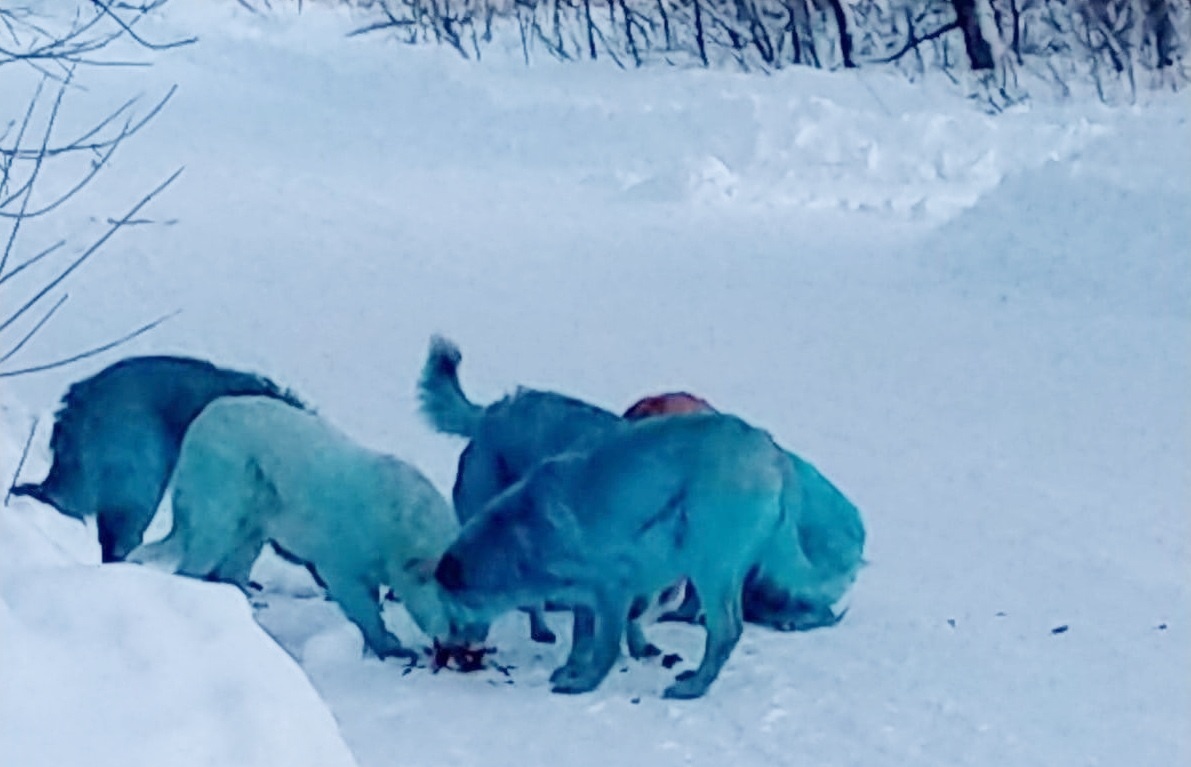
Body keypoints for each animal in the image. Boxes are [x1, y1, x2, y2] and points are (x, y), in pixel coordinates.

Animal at [131, 395, 483, 657]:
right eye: (456, 621)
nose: (469, 652)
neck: (404, 526)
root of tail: (200, 421)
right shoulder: (348, 549)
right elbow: (356, 595)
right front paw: (391, 645)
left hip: (255, 501)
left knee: (241, 547)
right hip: (226, 476)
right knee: (207, 541)